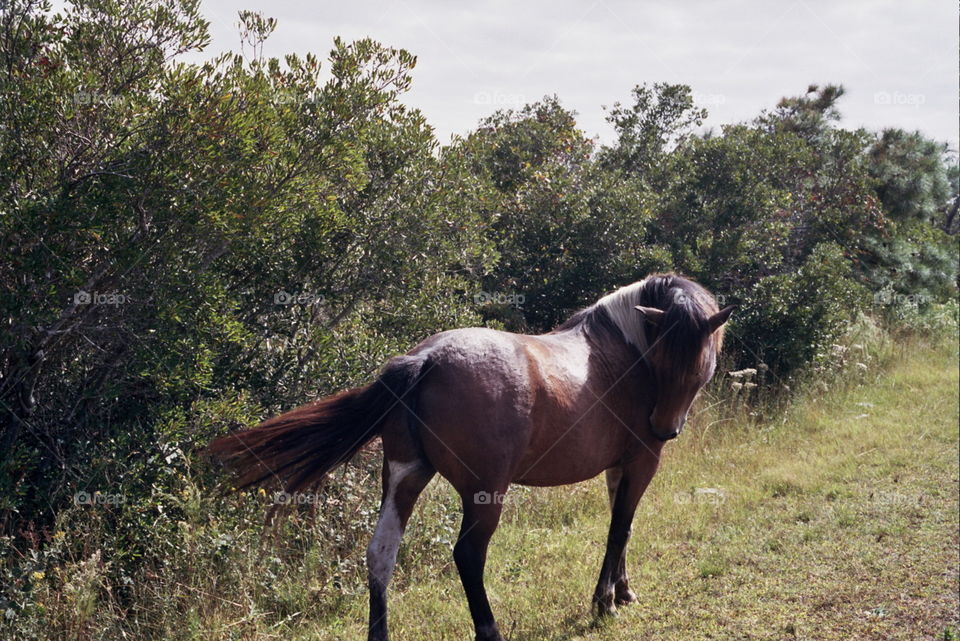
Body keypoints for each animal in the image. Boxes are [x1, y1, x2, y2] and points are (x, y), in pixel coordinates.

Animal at [208, 274, 736, 640]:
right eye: (667, 363)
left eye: (696, 364)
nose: (665, 428)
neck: (624, 352)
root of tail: (424, 359)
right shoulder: (642, 460)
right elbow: (619, 529)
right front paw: (604, 601)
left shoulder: (618, 467)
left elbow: (620, 525)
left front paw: (622, 591)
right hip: (485, 493)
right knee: (467, 555)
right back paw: (490, 629)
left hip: (405, 477)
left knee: (381, 553)